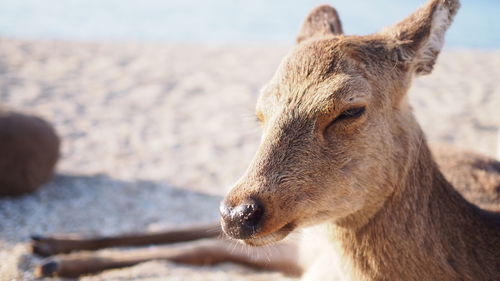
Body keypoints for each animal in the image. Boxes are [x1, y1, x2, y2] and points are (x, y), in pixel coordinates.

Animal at [32, 1, 500, 278]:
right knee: (196, 235)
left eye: (350, 110)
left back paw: (51, 254)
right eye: (260, 110)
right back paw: (48, 247)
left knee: (202, 245)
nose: (239, 213)